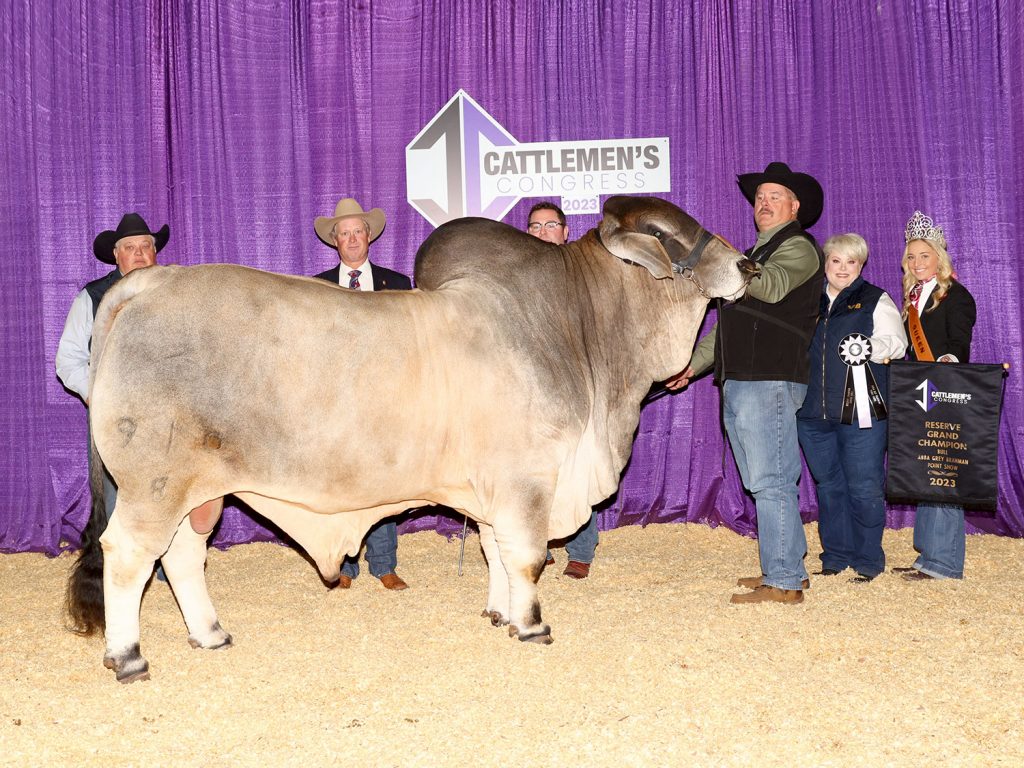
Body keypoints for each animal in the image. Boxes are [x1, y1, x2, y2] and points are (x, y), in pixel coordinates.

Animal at [66, 195, 757, 682]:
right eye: (664, 234)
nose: (747, 263)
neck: (575, 329)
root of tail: (147, 282)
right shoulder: (528, 478)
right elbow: (528, 556)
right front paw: (532, 626)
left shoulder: (493, 489)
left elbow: (495, 550)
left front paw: (499, 613)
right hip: (154, 484)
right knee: (128, 556)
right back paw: (129, 657)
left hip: (199, 490)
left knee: (181, 555)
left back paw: (210, 634)